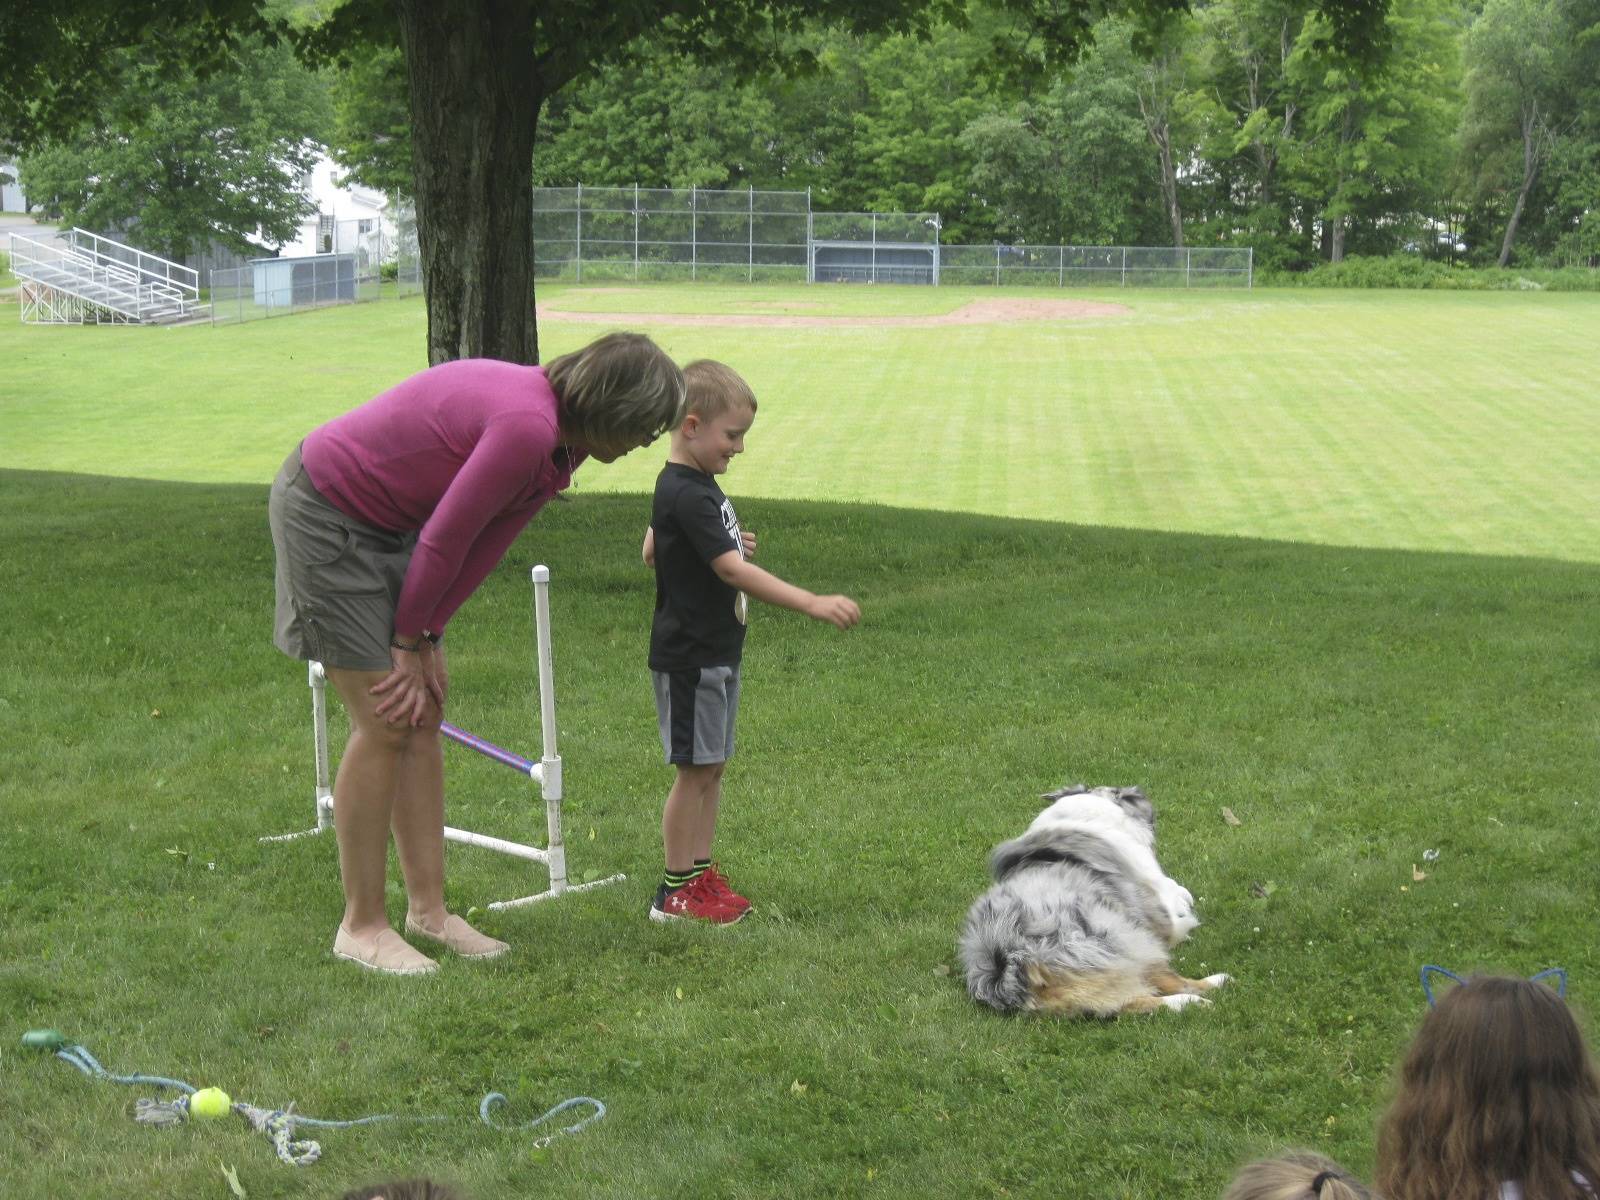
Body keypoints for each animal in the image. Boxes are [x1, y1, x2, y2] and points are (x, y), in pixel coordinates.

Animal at [953, 793, 1228, 1017]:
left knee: (1130, 1003)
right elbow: (1175, 902)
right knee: (1168, 980)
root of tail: (1008, 960)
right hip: (1122, 937)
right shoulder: (1157, 910)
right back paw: (1209, 988)